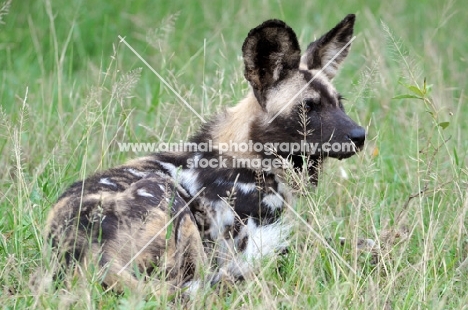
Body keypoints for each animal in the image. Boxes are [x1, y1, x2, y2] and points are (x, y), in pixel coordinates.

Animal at [45, 14, 364, 294]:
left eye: (339, 103)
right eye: (308, 107)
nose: (360, 136)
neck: (251, 155)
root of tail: (92, 256)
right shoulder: (244, 241)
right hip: (168, 199)